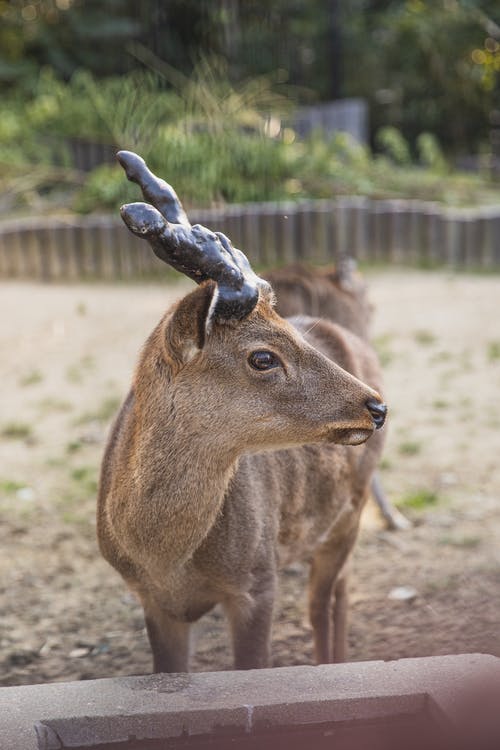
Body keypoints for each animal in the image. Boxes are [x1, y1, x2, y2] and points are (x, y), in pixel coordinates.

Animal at [96, 153, 386, 676]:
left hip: (349, 513)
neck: (163, 557)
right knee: (341, 590)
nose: (376, 406)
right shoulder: (151, 602)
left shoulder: (257, 581)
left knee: (321, 601)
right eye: (263, 356)